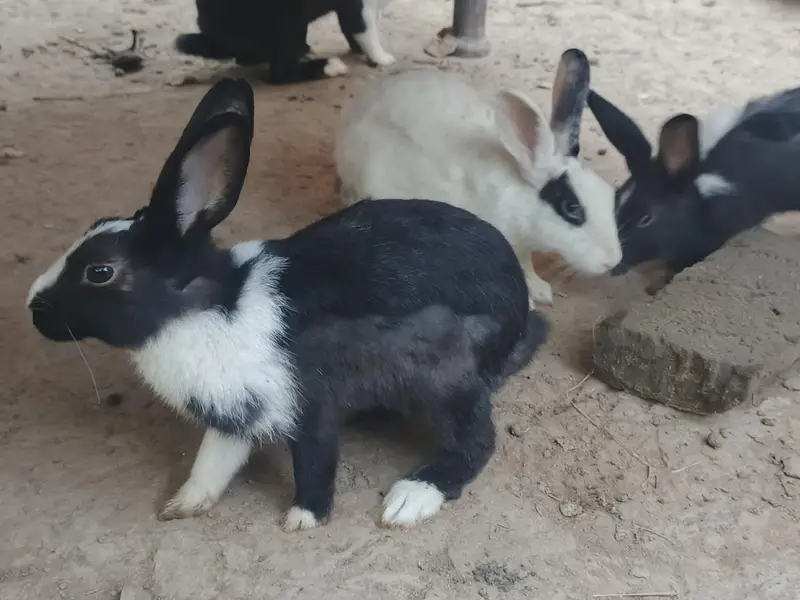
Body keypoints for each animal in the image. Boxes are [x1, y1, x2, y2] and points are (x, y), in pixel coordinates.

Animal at [26, 78, 548, 531]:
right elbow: (212, 461)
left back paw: (410, 497)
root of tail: (517, 311)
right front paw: (182, 505)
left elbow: (313, 459)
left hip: (448, 376)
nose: (33, 308)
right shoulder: (237, 416)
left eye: (100, 272)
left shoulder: (309, 402)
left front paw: (303, 518)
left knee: (476, 441)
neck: (211, 309)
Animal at [175, 0, 397, 85]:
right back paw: (330, 66)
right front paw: (383, 58)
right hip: (290, 17)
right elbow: (365, 30)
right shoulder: (359, 8)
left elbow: (351, 30)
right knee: (279, 74)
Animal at [334, 48, 622, 308]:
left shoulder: (523, 247)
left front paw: (541, 291)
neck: (519, 193)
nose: (613, 260)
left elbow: (528, 266)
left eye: (610, 195)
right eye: (571, 208)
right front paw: (529, 302)